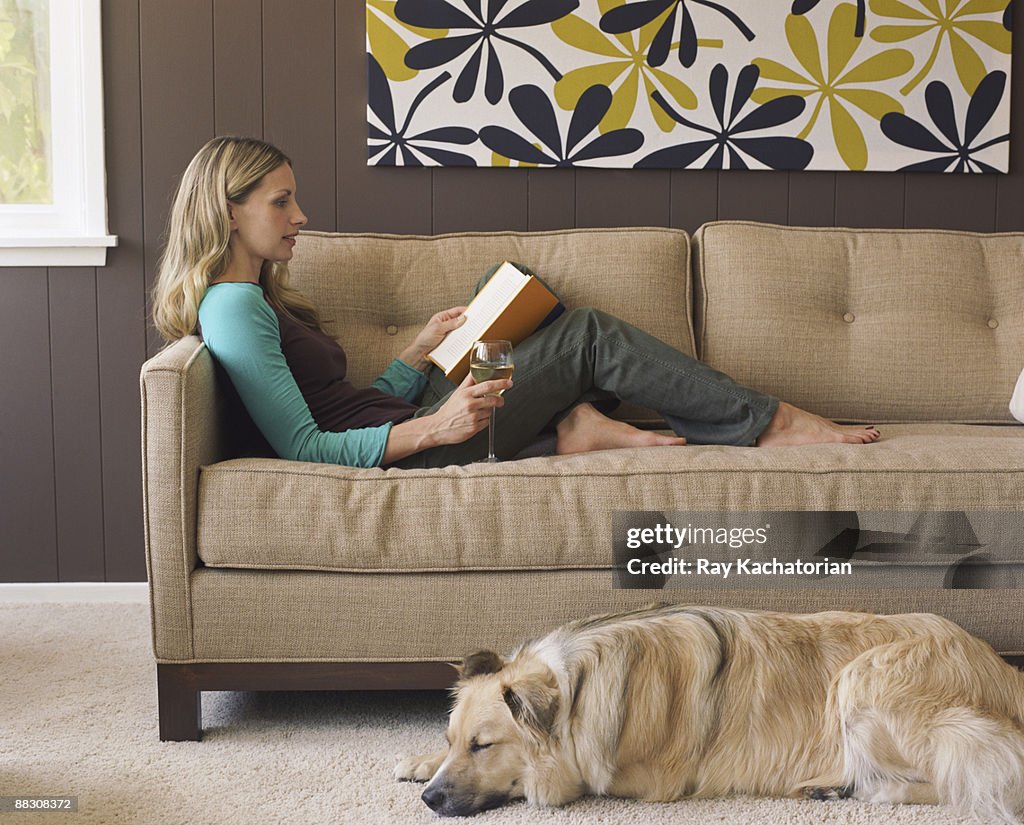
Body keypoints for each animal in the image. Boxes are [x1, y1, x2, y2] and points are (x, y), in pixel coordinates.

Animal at [395, 605, 1024, 822]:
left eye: (484, 746)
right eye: (453, 741)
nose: (429, 801)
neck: (576, 692)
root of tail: (1002, 668)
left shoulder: (644, 778)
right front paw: (417, 761)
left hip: (862, 681)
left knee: (972, 776)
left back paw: (869, 790)